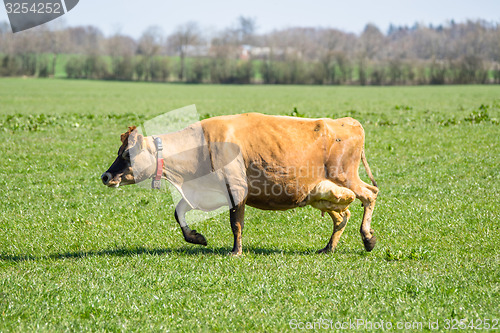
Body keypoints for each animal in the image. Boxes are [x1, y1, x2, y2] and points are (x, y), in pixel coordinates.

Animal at [101, 113, 378, 255]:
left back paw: (367, 238)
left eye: (127, 155)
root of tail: (348, 121)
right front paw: (196, 237)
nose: (105, 176)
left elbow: (236, 224)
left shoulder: (235, 190)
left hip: (346, 177)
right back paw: (328, 248)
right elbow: (179, 212)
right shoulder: (205, 192)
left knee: (370, 194)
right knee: (342, 216)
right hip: (322, 193)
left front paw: (236, 251)